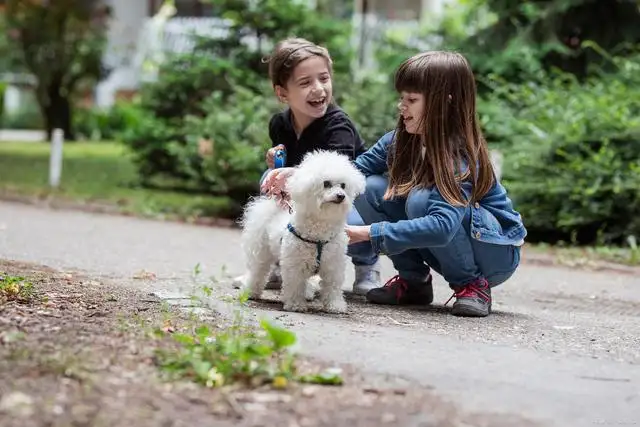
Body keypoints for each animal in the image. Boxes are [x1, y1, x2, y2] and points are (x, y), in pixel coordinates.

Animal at [238, 151, 364, 314]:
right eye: (326, 183)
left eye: (343, 185)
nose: (341, 196)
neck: (320, 228)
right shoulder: (295, 265)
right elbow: (295, 285)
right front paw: (296, 304)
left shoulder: (333, 265)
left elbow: (333, 287)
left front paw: (335, 305)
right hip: (262, 252)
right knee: (257, 272)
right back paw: (250, 292)